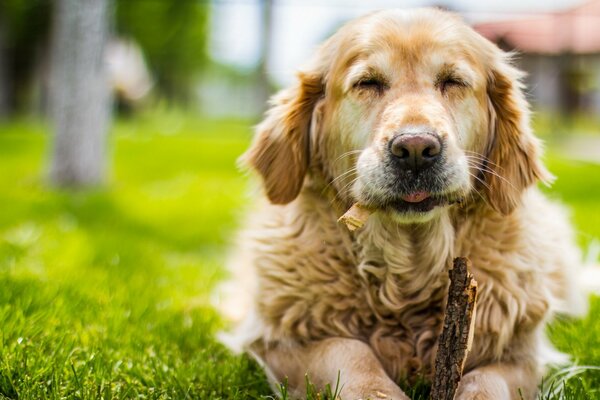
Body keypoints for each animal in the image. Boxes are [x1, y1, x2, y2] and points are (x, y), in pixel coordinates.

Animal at [218, 7, 584, 398]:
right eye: (367, 83)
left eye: (453, 81)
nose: (416, 150)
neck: (410, 269)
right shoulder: (277, 341)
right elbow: (348, 351)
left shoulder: (523, 354)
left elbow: (487, 380)